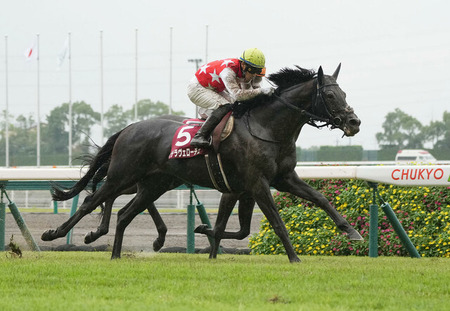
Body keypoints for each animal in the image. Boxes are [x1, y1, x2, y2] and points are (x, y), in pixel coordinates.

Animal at [43, 66, 362, 264]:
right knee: (91, 201)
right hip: (121, 175)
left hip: (155, 184)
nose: (354, 122)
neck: (268, 128)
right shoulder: (257, 184)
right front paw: (294, 257)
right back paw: (57, 234)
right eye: (330, 95)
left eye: (345, 94)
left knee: (124, 214)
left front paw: (351, 231)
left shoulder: (279, 179)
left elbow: (320, 199)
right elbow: (275, 221)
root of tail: (129, 127)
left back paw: (116, 254)